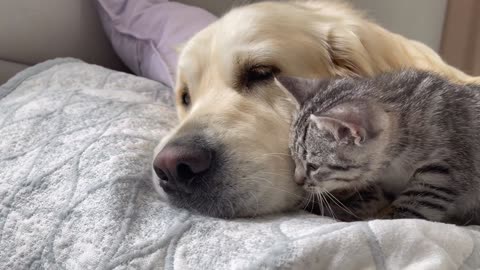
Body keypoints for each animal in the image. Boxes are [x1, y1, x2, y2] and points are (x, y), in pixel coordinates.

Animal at [280, 69, 480, 226]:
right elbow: (370, 197)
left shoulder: (439, 175)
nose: (296, 181)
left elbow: (404, 214)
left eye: (313, 166)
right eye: (293, 157)